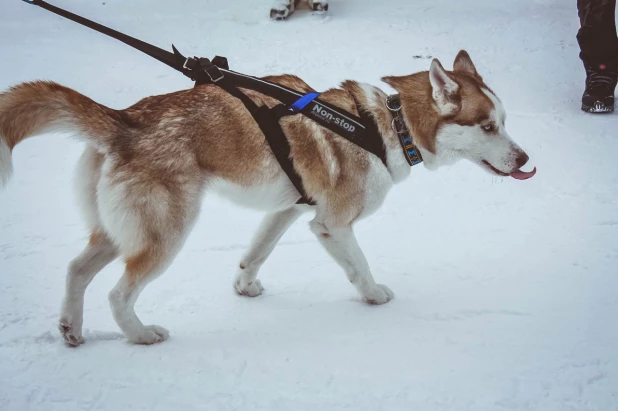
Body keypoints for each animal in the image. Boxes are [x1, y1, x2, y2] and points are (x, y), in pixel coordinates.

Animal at [0, 51, 528, 348]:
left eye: (504, 122)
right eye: (488, 126)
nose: (525, 158)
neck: (386, 127)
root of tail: (123, 119)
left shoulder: (288, 209)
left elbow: (256, 252)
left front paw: (244, 287)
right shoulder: (332, 224)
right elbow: (359, 266)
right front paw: (374, 296)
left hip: (117, 231)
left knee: (76, 270)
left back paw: (71, 331)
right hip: (165, 233)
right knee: (117, 292)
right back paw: (141, 335)